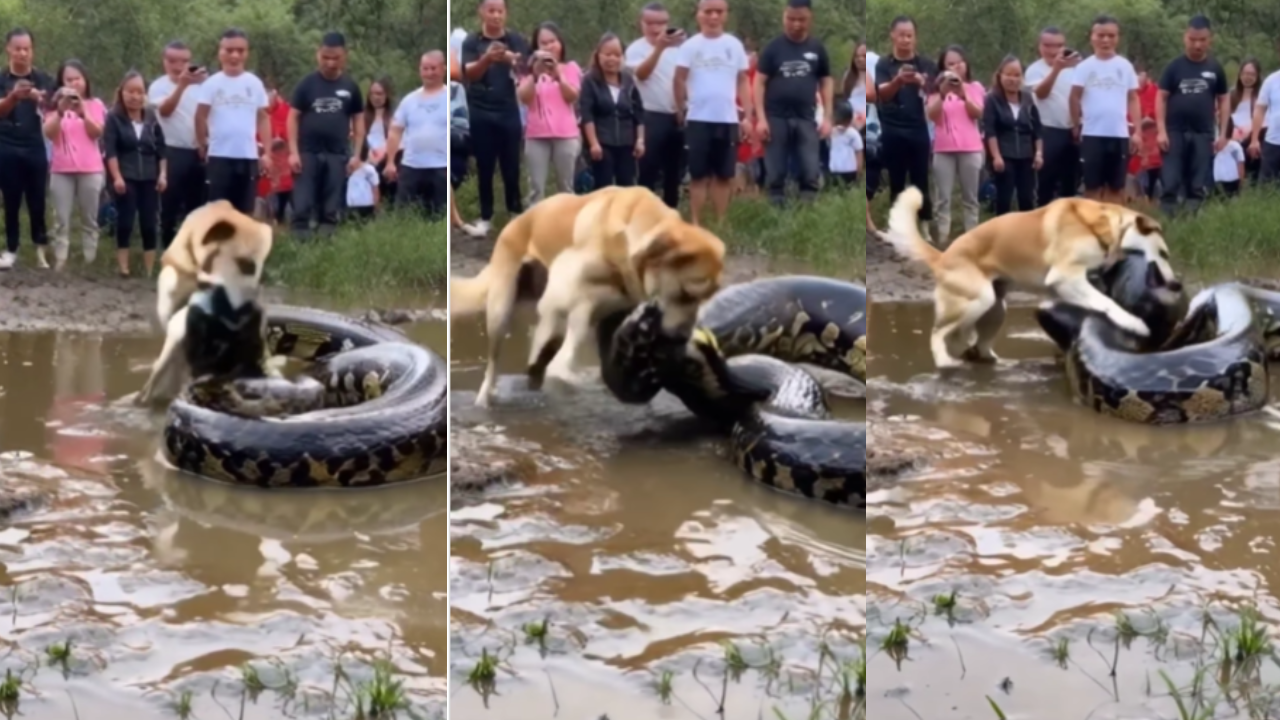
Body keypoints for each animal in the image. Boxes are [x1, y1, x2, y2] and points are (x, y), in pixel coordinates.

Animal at [453, 184, 727, 407]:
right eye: (686, 294)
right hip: (500, 313)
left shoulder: (611, 309)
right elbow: (573, 323)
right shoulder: (567, 282)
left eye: (705, 298)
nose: (682, 337)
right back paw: (485, 399)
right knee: (494, 366)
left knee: (540, 357)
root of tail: (515, 221)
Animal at [880, 184, 1177, 366]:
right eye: (1164, 254)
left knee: (972, 342)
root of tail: (942, 256)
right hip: (979, 300)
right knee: (938, 332)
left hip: (995, 308)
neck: (1104, 227)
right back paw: (943, 361)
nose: (1176, 284)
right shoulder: (1065, 277)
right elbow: (1107, 303)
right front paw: (1134, 323)